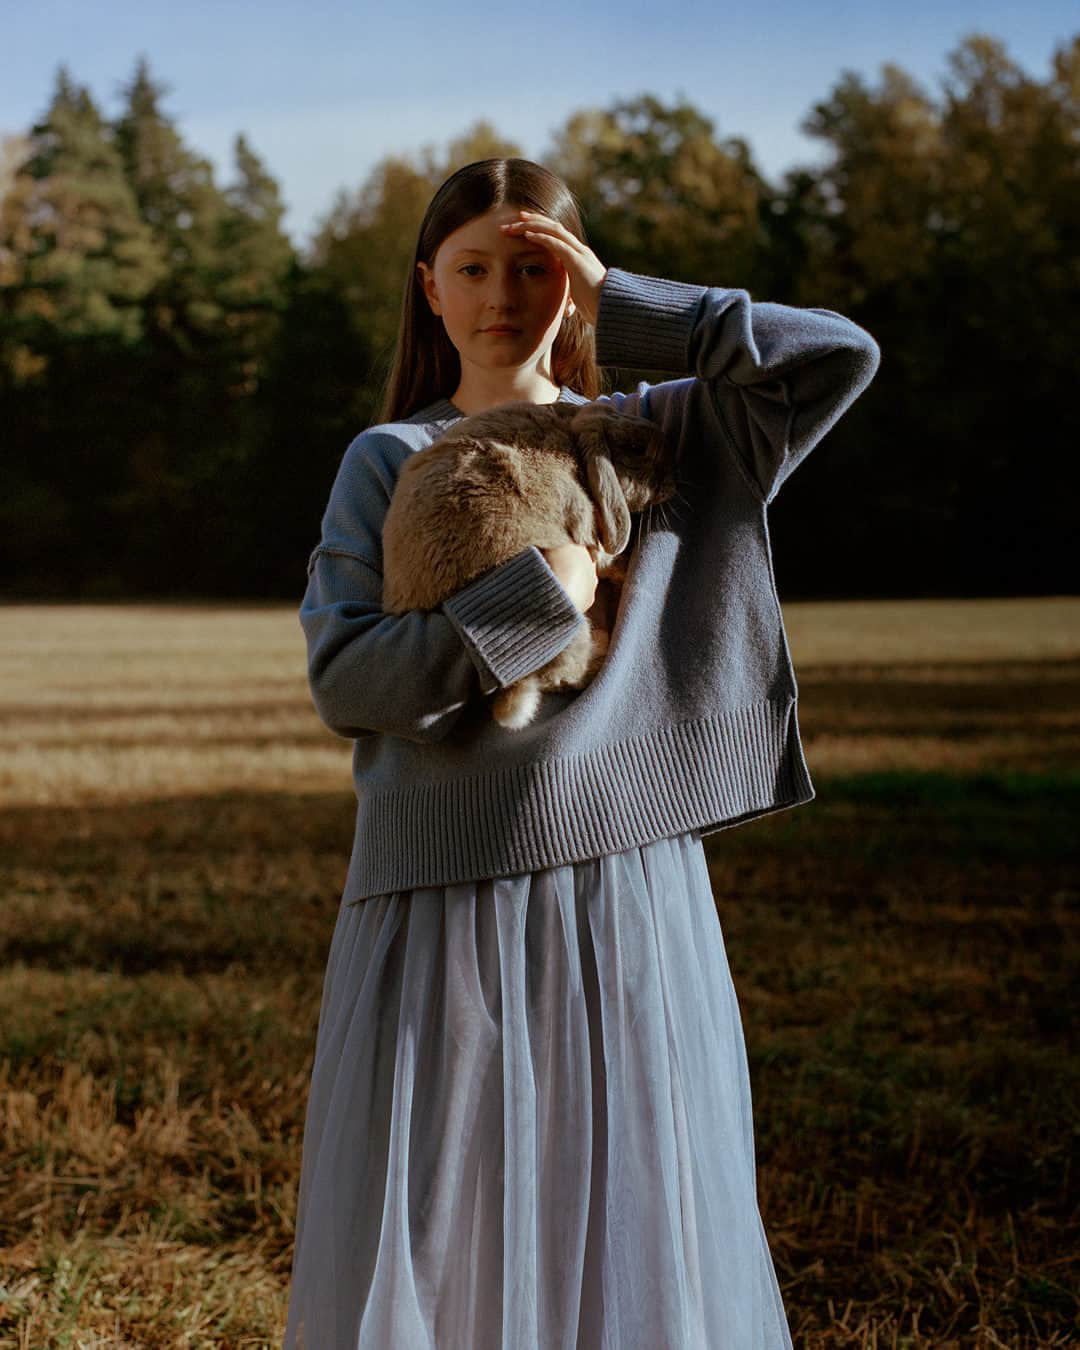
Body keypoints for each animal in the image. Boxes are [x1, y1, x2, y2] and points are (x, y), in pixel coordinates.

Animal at [380, 396, 675, 729]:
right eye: (637, 448)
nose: (674, 479)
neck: (574, 442)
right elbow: (607, 560)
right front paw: (624, 570)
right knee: (566, 672)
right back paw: (600, 647)